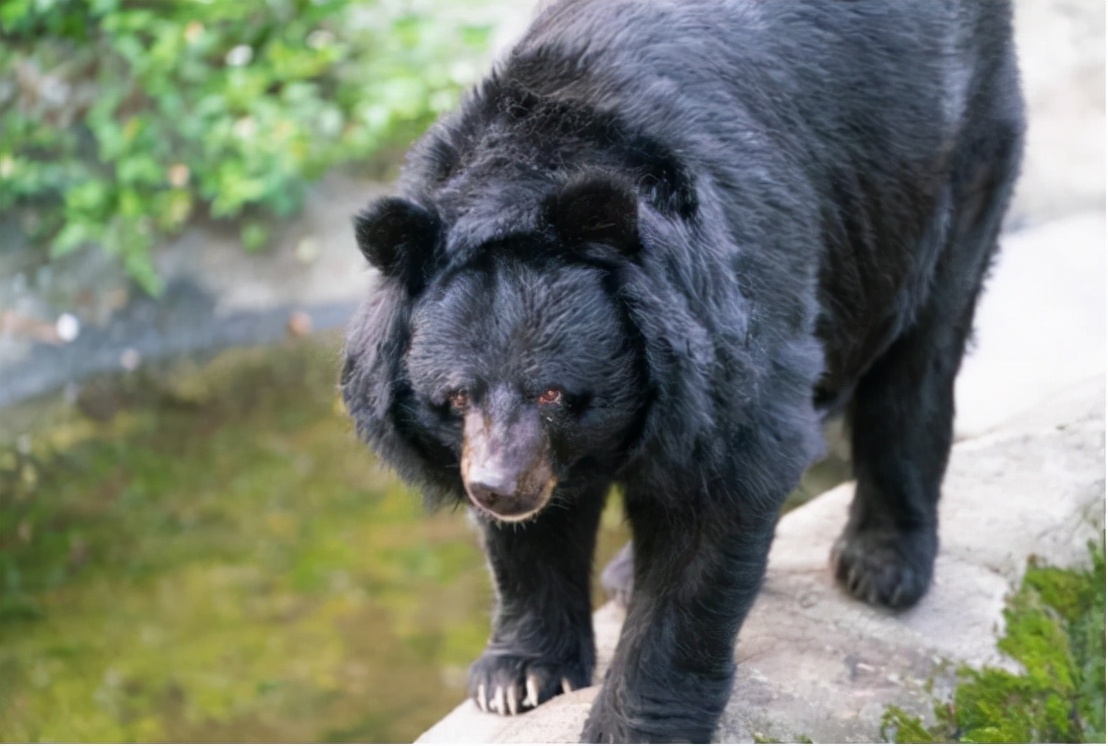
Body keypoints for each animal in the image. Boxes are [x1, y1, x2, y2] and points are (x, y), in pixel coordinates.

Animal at [341, 0, 1023, 740]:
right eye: (457, 398)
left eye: (554, 393)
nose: (498, 488)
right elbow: (533, 540)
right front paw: (516, 679)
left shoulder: (730, 305)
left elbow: (722, 494)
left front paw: (634, 721)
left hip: (948, 162)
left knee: (918, 357)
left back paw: (882, 565)